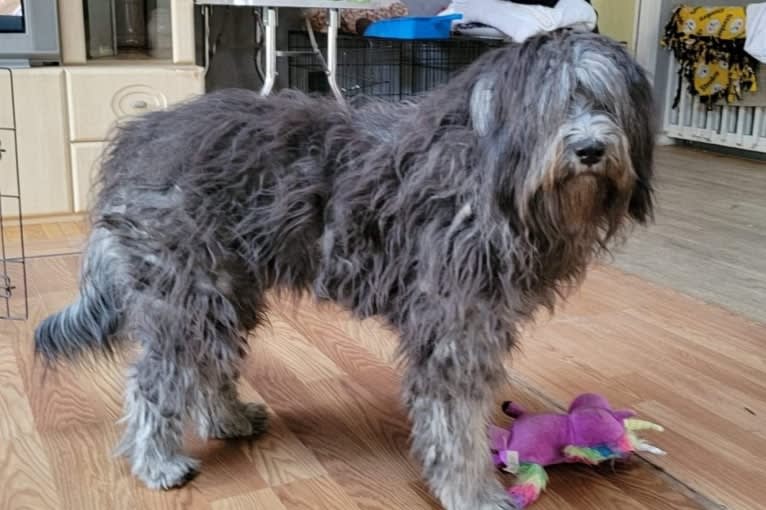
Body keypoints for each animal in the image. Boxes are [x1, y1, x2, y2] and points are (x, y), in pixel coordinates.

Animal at [36, 29, 656, 508]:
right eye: (556, 104)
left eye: (605, 103)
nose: (591, 149)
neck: (489, 176)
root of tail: (138, 139)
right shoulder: (455, 329)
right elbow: (456, 427)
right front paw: (474, 492)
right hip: (185, 290)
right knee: (154, 380)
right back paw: (158, 462)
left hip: (225, 290)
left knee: (207, 365)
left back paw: (227, 418)